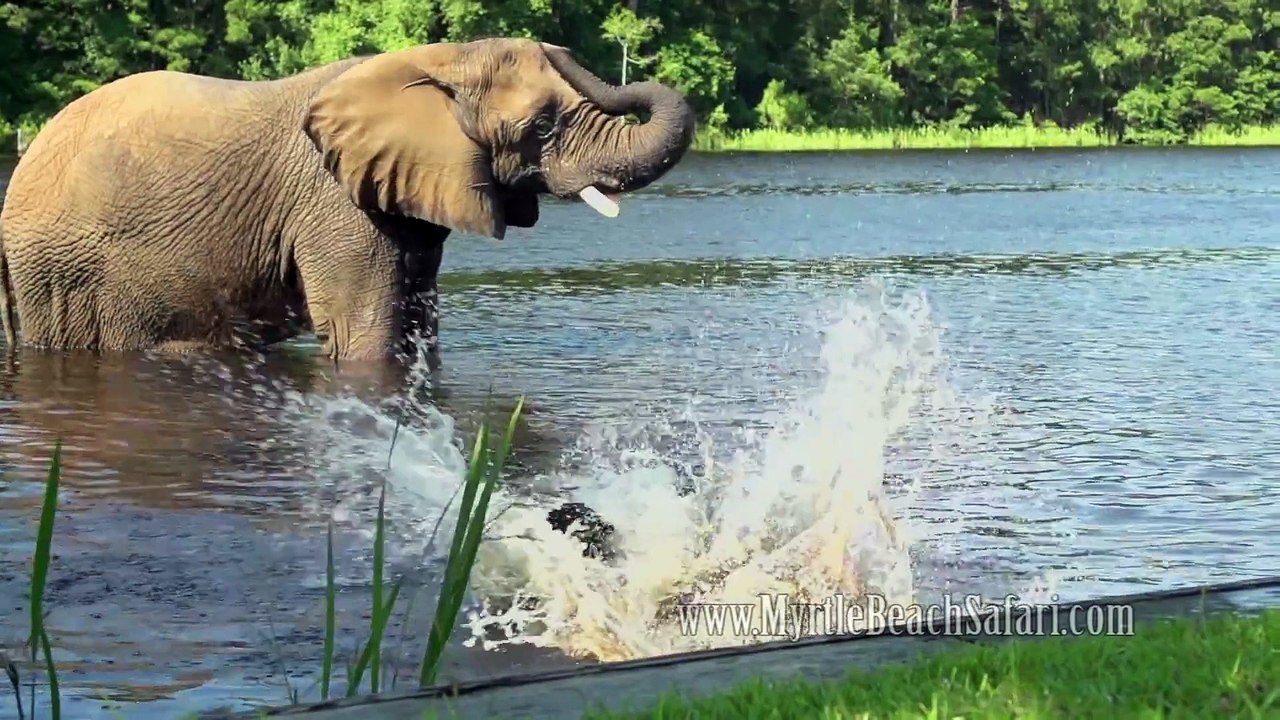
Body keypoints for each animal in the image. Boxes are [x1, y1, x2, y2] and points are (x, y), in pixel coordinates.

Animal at [0, 37, 696, 366]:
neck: (433, 63)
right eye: (543, 126)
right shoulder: (335, 203)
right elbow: (366, 337)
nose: (557, 46)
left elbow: (416, 326)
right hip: (65, 274)